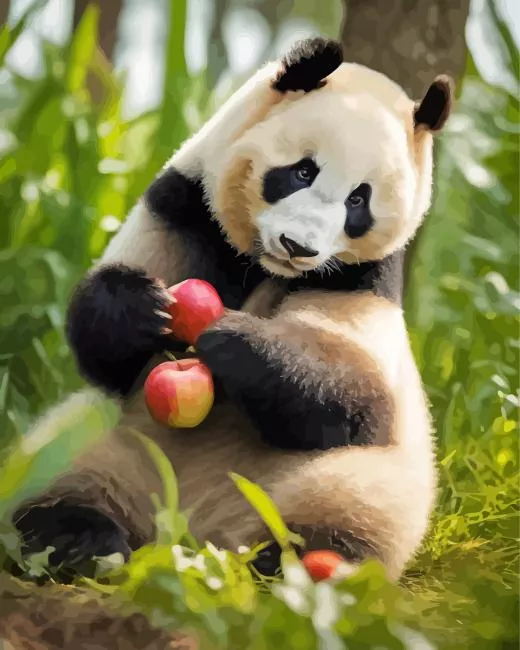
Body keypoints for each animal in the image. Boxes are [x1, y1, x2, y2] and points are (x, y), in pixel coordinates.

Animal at [13, 37, 453, 583]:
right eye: (302, 171)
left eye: (359, 200)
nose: (298, 246)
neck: (263, 265)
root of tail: (188, 536)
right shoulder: (183, 209)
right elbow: (105, 352)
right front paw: (139, 310)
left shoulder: (361, 279)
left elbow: (355, 384)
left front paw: (232, 343)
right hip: (113, 446)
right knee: (59, 460)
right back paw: (81, 538)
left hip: (327, 487)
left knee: (353, 509)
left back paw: (292, 566)